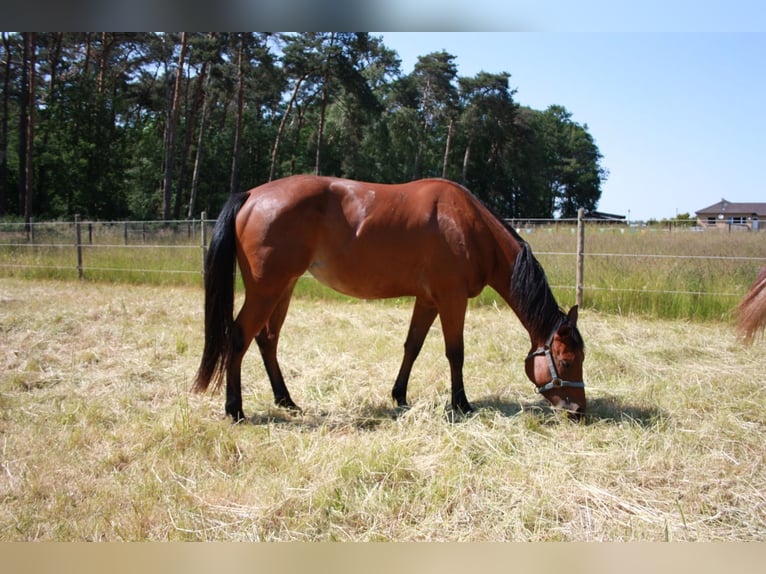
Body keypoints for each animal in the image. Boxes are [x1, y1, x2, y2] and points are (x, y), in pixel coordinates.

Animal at [194, 176, 588, 424]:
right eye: (567, 362)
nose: (579, 412)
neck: (468, 225)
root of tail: (251, 195)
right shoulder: (451, 299)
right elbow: (455, 352)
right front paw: (461, 403)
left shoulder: (428, 301)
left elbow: (412, 346)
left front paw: (399, 395)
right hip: (267, 289)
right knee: (239, 338)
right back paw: (236, 409)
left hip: (284, 288)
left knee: (267, 340)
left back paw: (286, 400)